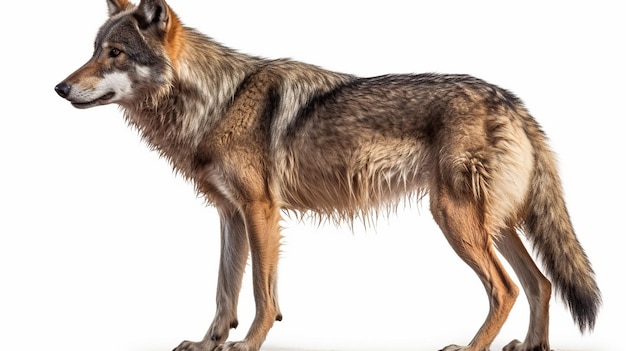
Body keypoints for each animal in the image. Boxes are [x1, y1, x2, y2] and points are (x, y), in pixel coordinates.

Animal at [54, 0, 600, 351]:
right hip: (495, 225)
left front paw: (247, 344)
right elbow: (224, 289)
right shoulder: (230, 214)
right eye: (94, 50)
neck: (216, 102)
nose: (59, 88)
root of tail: (511, 99)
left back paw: (469, 349)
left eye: (115, 54)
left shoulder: (261, 210)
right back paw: (530, 347)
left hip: (456, 220)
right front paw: (209, 342)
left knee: (507, 289)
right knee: (541, 284)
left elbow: (262, 293)